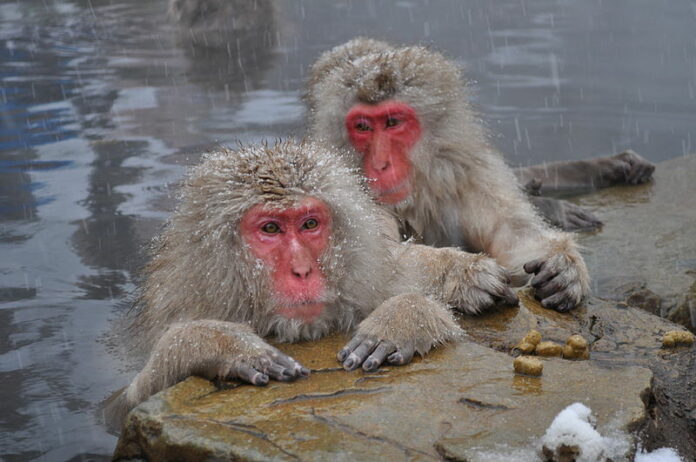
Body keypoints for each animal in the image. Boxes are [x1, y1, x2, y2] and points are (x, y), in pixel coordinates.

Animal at [113, 140, 516, 416]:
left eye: (309, 224)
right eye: (271, 229)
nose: (302, 269)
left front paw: (410, 313)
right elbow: (122, 405)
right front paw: (217, 344)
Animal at [306, 39, 592, 312]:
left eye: (392, 122)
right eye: (363, 127)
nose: (380, 164)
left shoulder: (469, 173)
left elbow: (512, 231)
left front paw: (563, 265)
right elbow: (369, 262)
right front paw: (461, 273)